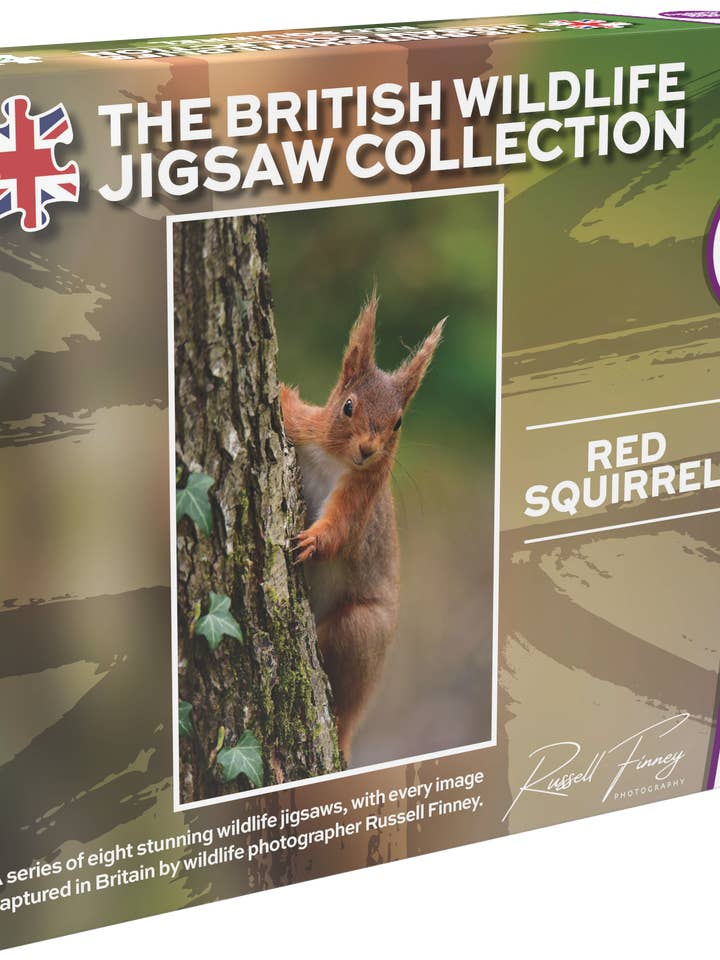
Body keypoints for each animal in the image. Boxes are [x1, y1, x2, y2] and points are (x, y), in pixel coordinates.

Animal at [280, 291, 444, 761]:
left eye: (398, 422)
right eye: (347, 406)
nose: (368, 450)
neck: (335, 460)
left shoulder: (361, 498)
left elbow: (339, 531)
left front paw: (312, 543)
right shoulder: (306, 427)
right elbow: (290, 407)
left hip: (361, 630)